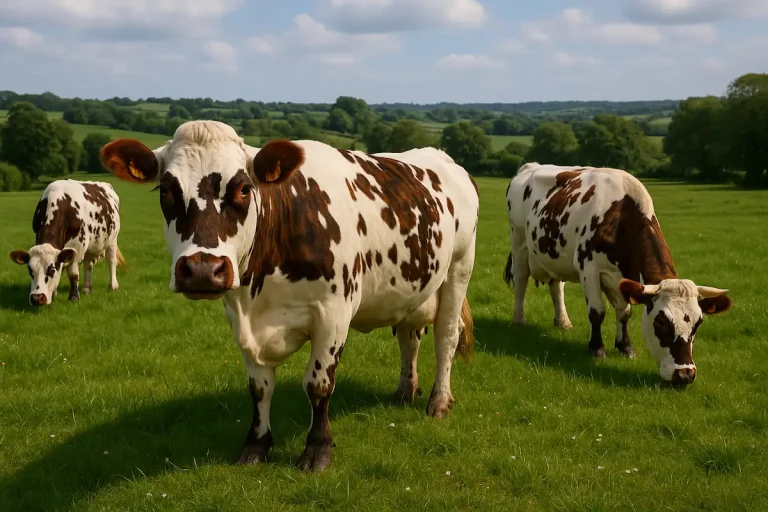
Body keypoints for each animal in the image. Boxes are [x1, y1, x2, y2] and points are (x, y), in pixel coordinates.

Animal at [98, 120, 479, 472]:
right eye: (165, 190)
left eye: (244, 189)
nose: (203, 269)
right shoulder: (239, 319)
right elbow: (260, 387)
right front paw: (256, 445)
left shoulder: (333, 313)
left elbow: (318, 384)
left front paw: (317, 450)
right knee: (409, 338)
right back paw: (405, 390)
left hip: (459, 269)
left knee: (446, 338)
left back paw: (439, 401)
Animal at [503, 162, 732, 387]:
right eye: (660, 322)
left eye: (698, 324)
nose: (685, 375)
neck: (620, 214)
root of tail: (530, 166)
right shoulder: (588, 268)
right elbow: (597, 311)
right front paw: (597, 349)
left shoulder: (623, 279)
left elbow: (624, 313)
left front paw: (625, 347)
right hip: (519, 242)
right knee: (521, 281)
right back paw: (519, 320)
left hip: (554, 256)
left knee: (556, 286)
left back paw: (563, 322)